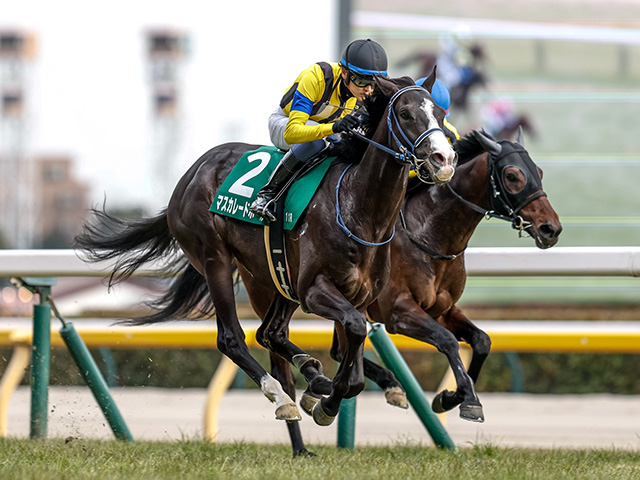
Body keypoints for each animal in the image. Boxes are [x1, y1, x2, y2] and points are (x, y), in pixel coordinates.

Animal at [74, 72, 458, 455]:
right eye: (405, 114)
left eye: (440, 113)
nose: (444, 158)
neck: (358, 209)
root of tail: (192, 172)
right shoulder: (314, 291)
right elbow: (353, 338)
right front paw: (327, 404)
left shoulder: (357, 296)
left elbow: (354, 358)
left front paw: (327, 391)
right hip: (215, 258)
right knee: (232, 339)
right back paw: (282, 396)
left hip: (276, 276)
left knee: (269, 333)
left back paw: (310, 374)